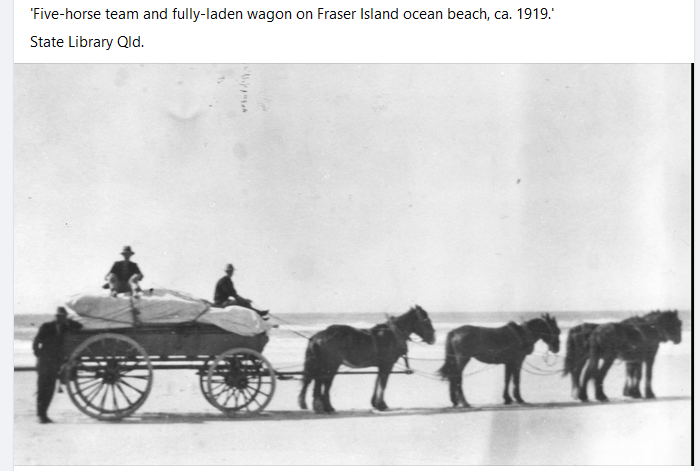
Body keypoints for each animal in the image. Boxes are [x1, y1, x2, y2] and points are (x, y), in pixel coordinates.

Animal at [296, 306, 438, 412]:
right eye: (425, 320)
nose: (432, 339)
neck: (392, 334)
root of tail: (316, 337)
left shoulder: (381, 366)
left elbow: (378, 382)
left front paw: (375, 403)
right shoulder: (387, 365)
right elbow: (383, 383)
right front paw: (381, 405)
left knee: (316, 381)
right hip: (331, 365)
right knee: (324, 383)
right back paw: (326, 406)